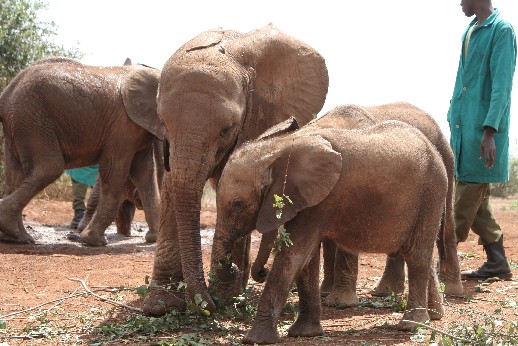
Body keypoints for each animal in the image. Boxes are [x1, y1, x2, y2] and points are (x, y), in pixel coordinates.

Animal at [0, 56, 165, 245]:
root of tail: (6, 93)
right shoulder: (123, 127)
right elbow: (114, 171)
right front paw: (94, 241)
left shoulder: (140, 129)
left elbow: (145, 174)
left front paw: (154, 238)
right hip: (32, 118)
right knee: (50, 167)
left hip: (18, 123)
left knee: (16, 174)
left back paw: (17, 237)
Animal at [142, 23, 330, 316]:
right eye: (162, 121)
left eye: (226, 129)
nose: (207, 305)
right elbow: (174, 185)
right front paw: (160, 306)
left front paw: (226, 296)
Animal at [209, 119, 448, 344]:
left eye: (238, 204)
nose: (234, 268)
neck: (279, 147)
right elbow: (307, 261)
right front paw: (305, 334)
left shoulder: (319, 202)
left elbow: (294, 256)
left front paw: (255, 339)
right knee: (422, 255)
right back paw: (434, 316)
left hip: (432, 193)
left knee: (417, 256)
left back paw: (412, 326)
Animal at [250, 102, 466, 306]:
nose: (263, 273)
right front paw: (325, 294)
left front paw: (339, 302)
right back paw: (385, 292)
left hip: (446, 161)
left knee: (445, 225)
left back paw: (451, 290)